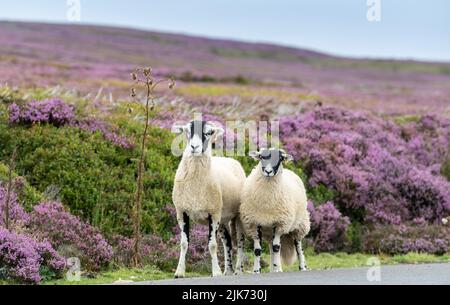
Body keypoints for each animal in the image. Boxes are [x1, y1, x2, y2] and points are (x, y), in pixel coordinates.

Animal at [171, 120, 246, 276]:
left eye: (208, 132)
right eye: (187, 131)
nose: (194, 147)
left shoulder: (213, 214)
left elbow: (212, 245)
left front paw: (216, 272)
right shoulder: (181, 212)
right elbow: (184, 243)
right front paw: (179, 272)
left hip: (237, 215)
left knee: (241, 241)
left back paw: (237, 270)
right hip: (222, 218)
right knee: (228, 241)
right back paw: (228, 270)